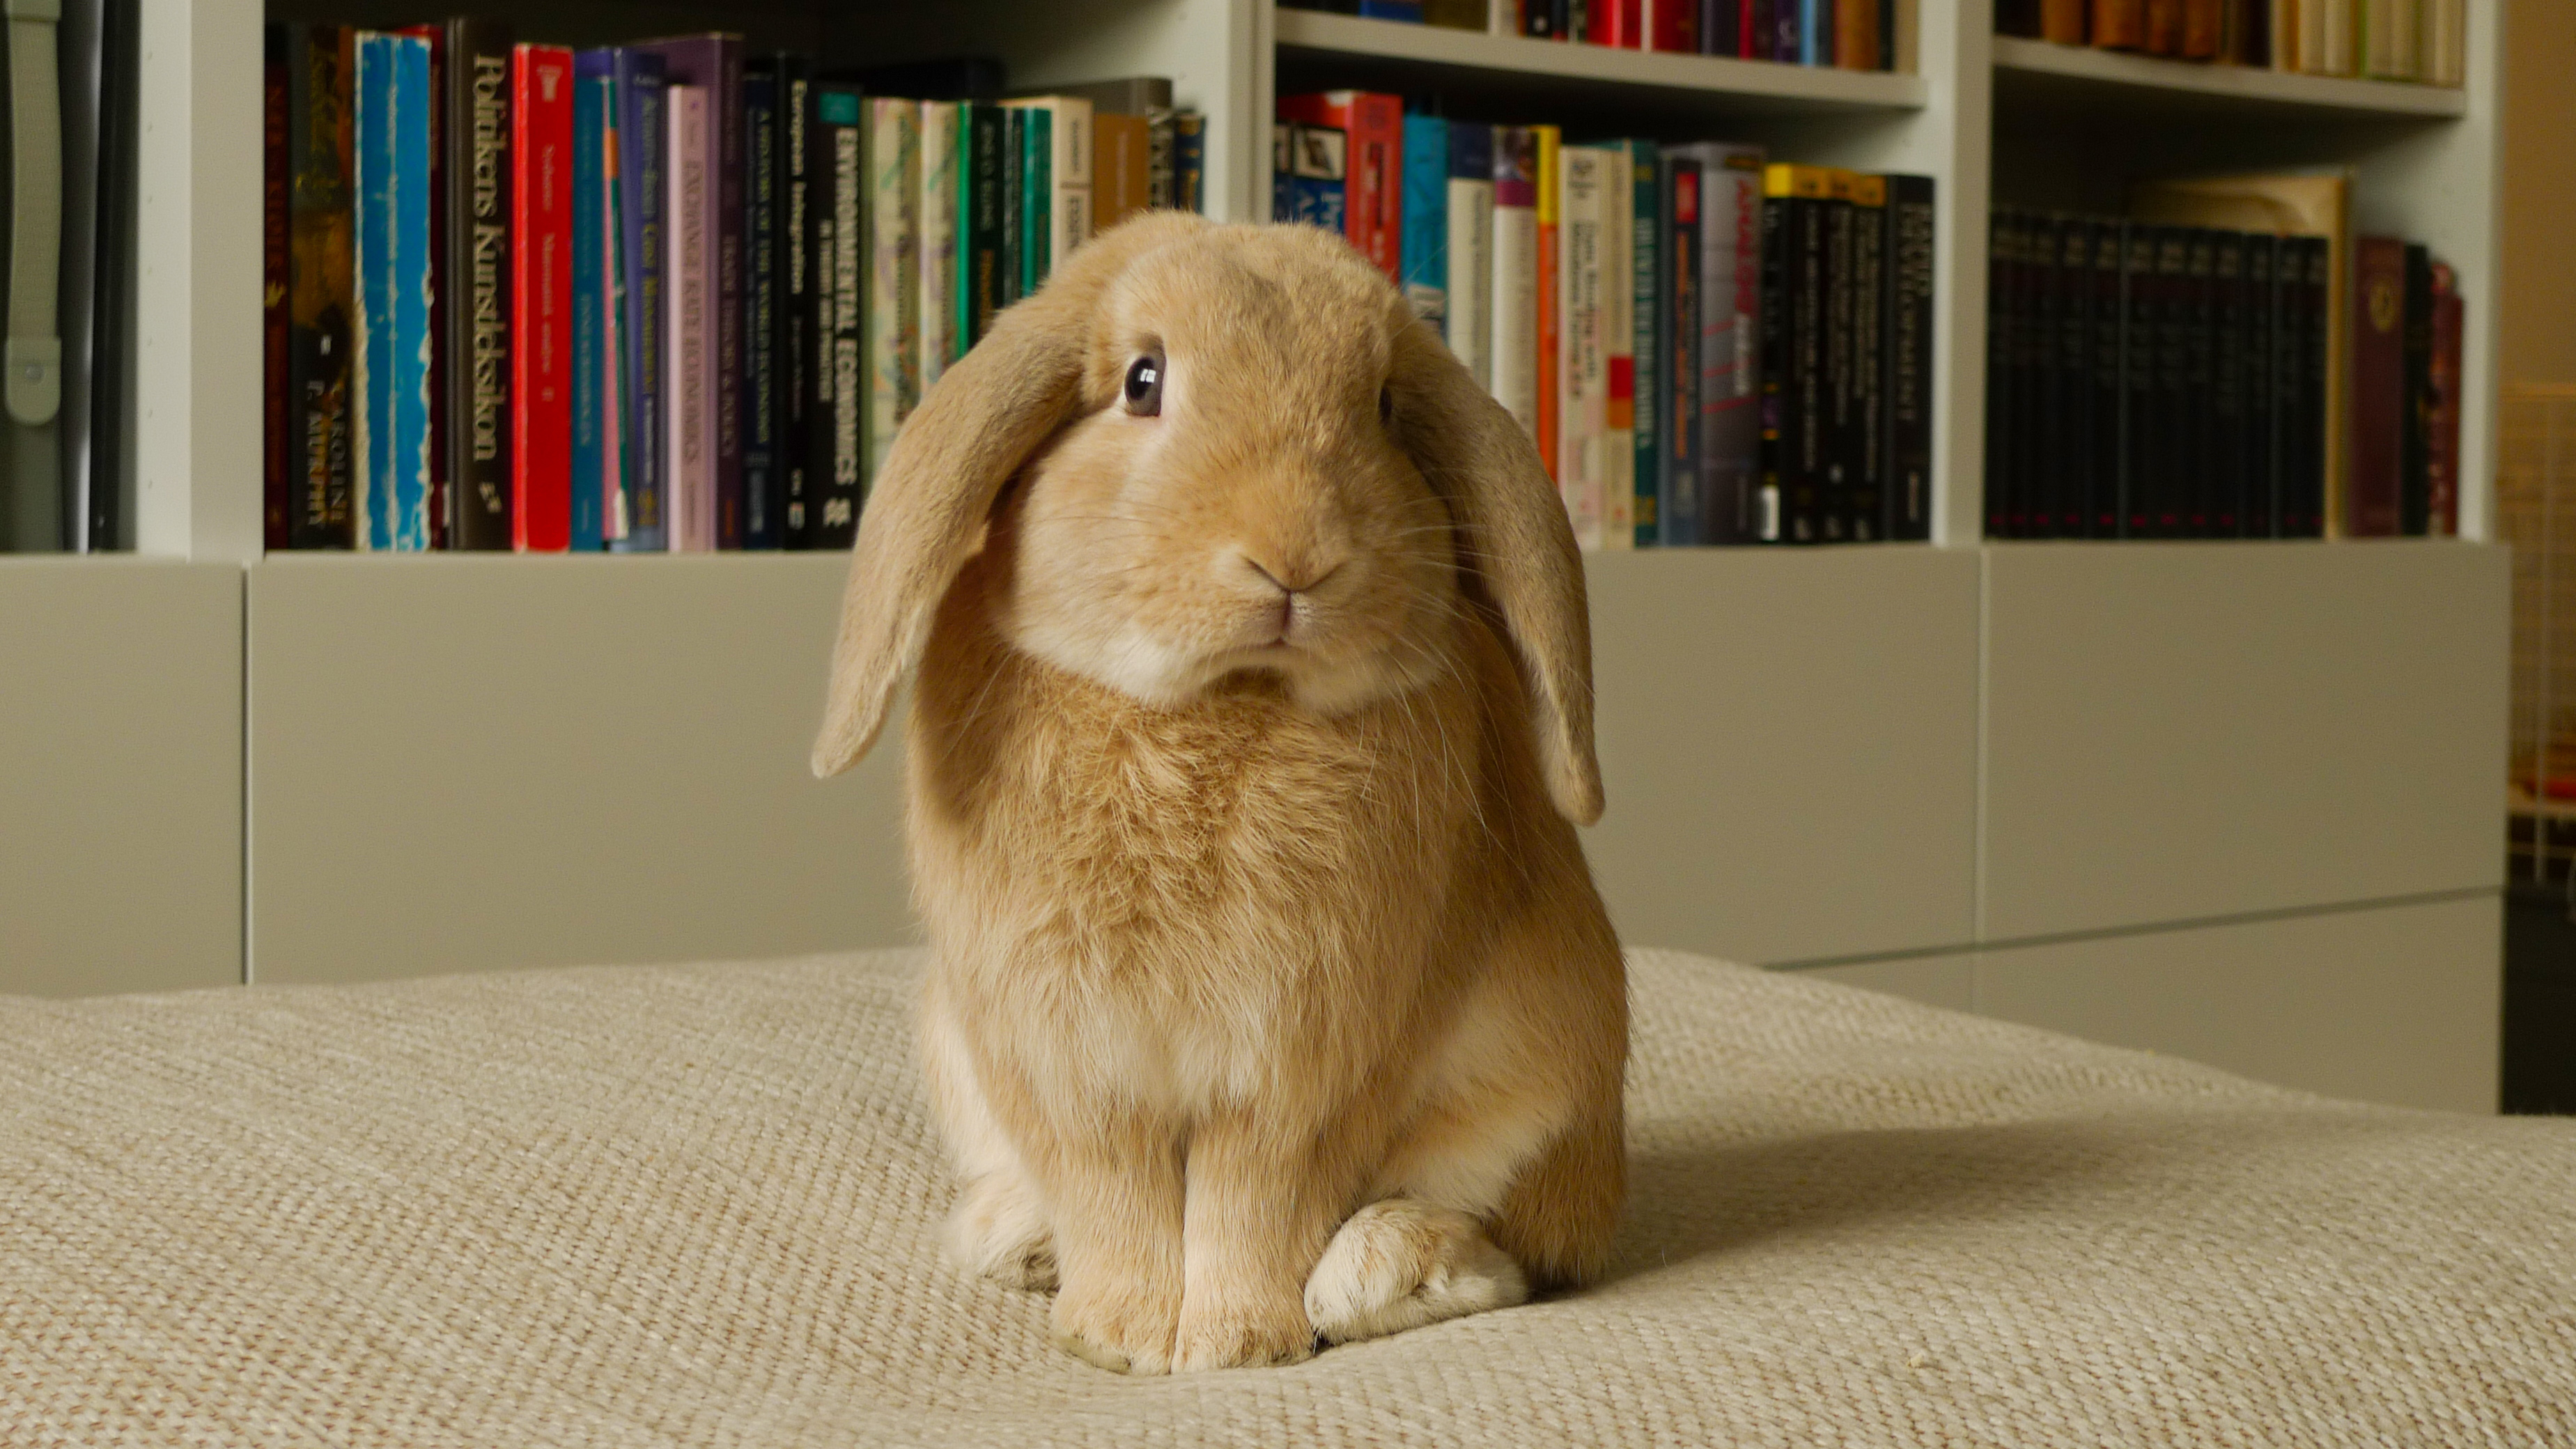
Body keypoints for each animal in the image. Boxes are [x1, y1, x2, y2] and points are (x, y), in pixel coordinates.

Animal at [812, 212, 1627, 1375]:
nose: (1296, 559)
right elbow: (1112, 1191)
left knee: (1515, 1247)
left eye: (1383, 406)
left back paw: (1375, 1272)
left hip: (1541, 1084)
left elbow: (1258, 1200)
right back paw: (1015, 1240)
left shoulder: (1309, 1062)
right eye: (1142, 381)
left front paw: (1235, 1344)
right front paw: (1118, 1335)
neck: (1217, 703)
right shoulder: (1060, 1056)